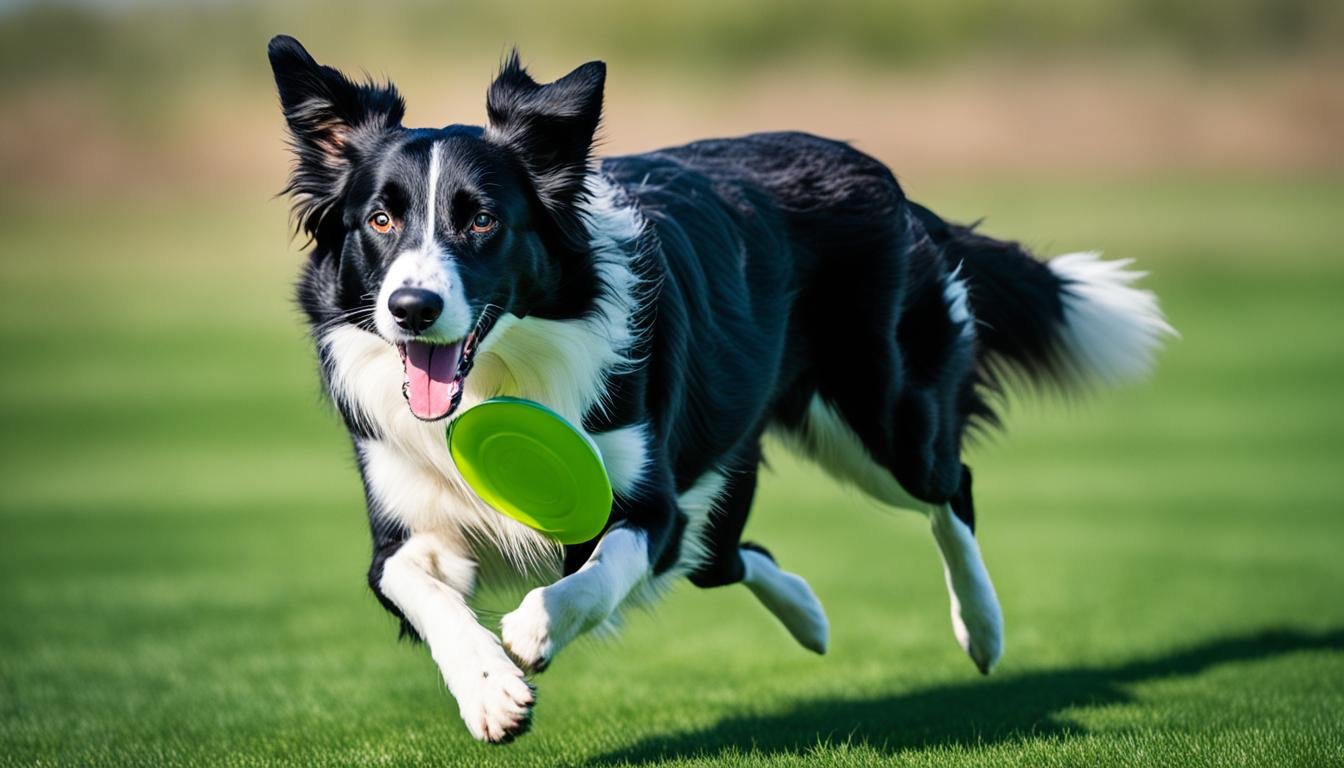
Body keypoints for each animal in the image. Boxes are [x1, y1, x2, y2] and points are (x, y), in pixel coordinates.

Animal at [267, 37, 1171, 747]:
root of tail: (877, 170)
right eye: (379, 220)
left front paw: (529, 631)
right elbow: (419, 591)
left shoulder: (646, 499)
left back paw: (980, 630)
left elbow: (595, 575)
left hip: (879, 419)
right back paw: (811, 616)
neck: (501, 371)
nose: (412, 308)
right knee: (728, 554)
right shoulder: (405, 521)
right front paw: (490, 690)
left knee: (952, 488)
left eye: (482, 219)